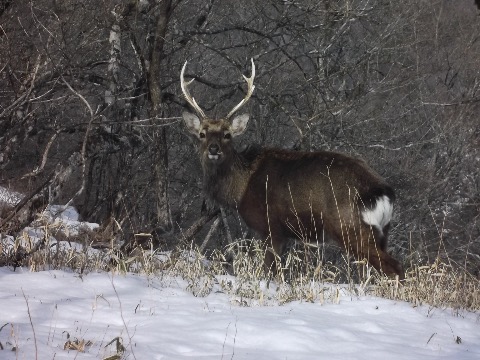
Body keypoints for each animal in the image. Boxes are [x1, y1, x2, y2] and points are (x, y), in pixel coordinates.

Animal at [180, 58, 404, 278]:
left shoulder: (270, 227)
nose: (214, 148)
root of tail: (383, 192)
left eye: (227, 134)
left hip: (351, 228)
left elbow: (269, 271)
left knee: (394, 267)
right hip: (382, 231)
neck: (241, 188)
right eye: (202, 134)